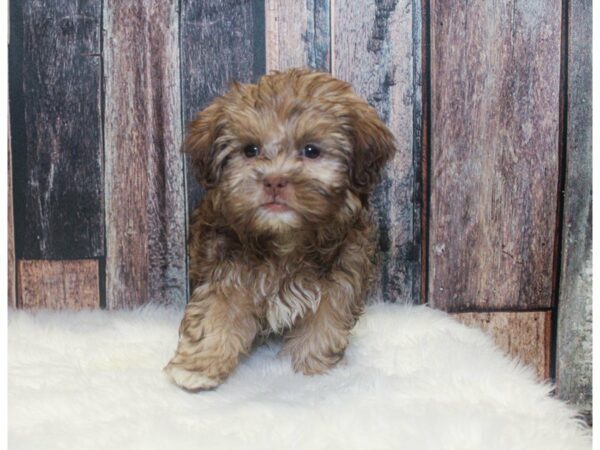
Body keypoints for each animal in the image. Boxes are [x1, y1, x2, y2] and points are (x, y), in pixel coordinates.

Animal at [164, 67, 396, 390]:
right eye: (250, 150)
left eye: (311, 151)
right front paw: (196, 368)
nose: (274, 181)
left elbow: (326, 323)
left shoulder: (342, 275)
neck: (285, 240)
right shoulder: (225, 271)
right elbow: (213, 315)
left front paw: (315, 370)